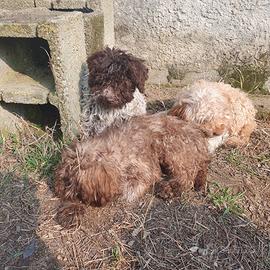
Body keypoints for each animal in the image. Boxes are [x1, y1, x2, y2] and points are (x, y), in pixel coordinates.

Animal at [55, 114, 219, 219]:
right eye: (66, 182)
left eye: (78, 187)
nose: (65, 192)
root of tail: (199, 134)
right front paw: (70, 210)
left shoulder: (145, 169)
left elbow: (131, 188)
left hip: (171, 146)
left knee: (187, 175)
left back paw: (169, 188)